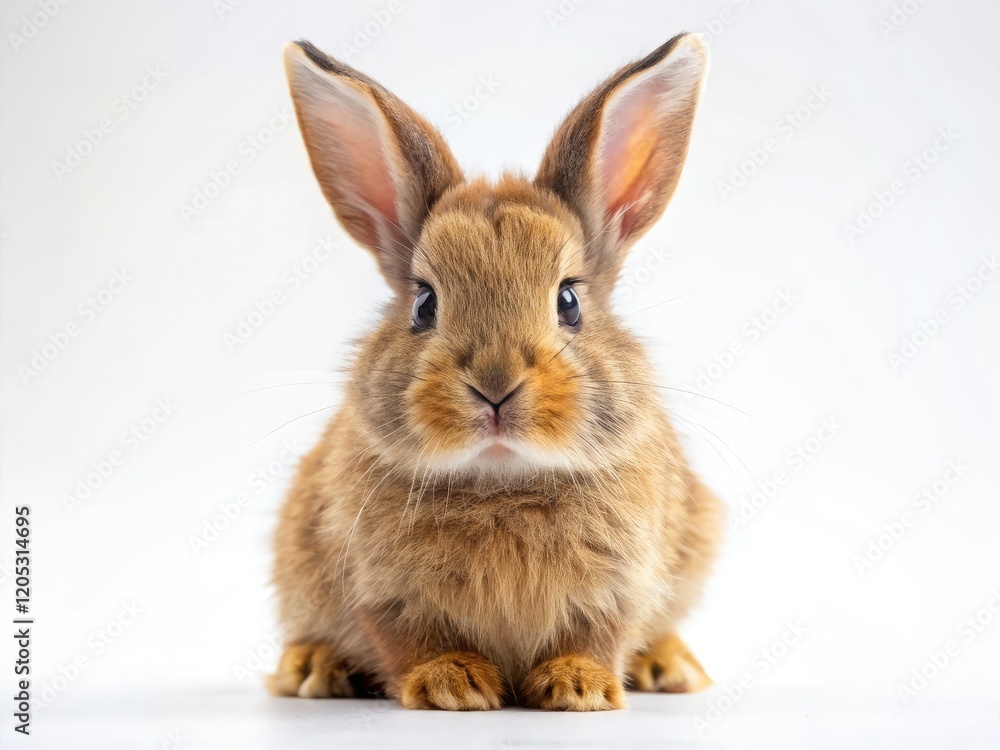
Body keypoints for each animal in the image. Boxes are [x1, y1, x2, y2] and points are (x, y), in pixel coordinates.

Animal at [267, 32, 722, 711]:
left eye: (569, 301)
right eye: (424, 305)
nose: (495, 385)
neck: (503, 484)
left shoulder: (621, 585)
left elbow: (598, 635)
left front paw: (578, 687)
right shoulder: (378, 591)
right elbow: (409, 640)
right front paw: (451, 683)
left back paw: (670, 667)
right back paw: (313, 669)